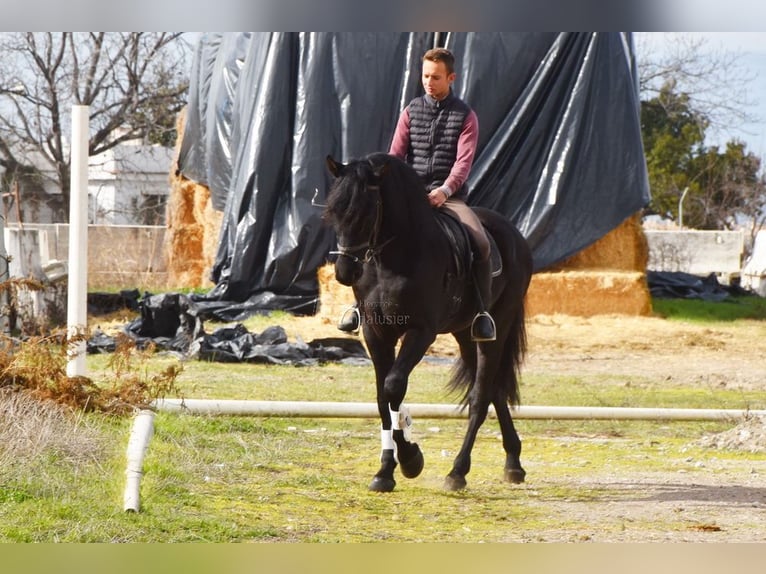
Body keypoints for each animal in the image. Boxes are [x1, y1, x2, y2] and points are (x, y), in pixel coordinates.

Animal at [323, 152, 533, 492]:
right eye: (333, 212)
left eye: (366, 212)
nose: (344, 272)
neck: (392, 258)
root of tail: (513, 233)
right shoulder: (375, 332)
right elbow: (382, 398)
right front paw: (385, 472)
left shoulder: (421, 332)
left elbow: (394, 387)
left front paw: (411, 460)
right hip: (464, 333)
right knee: (494, 390)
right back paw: (513, 462)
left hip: (496, 327)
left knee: (480, 395)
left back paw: (458, 472)